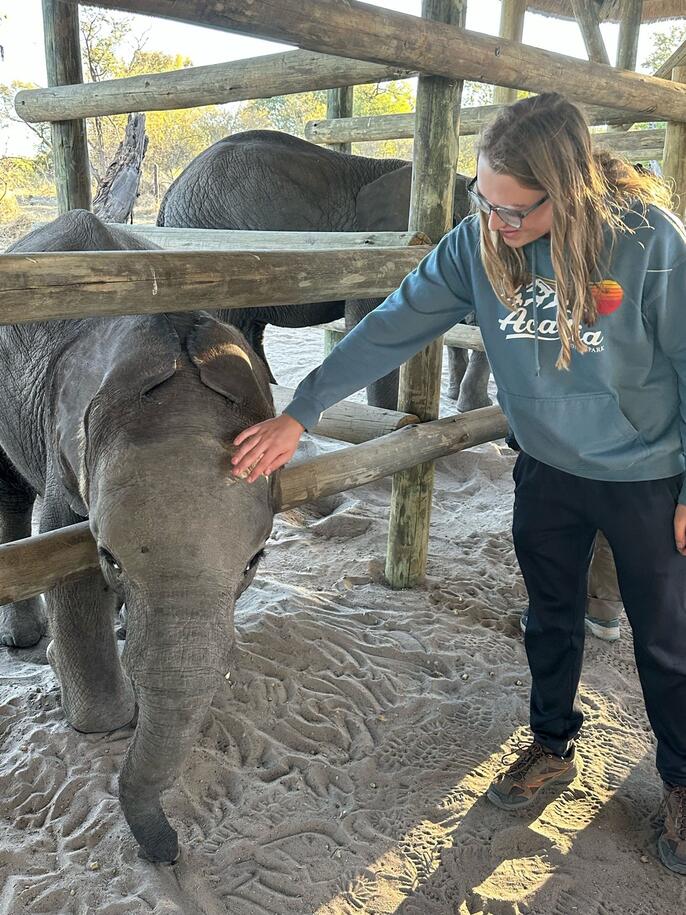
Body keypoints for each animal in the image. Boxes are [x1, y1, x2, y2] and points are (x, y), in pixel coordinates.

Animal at [1, 210, 275, 863]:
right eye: (110, 558)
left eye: (253, 563)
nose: (171, 850)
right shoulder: (64, 453)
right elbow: (61, 552)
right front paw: (87, 698)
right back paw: (25, 639)